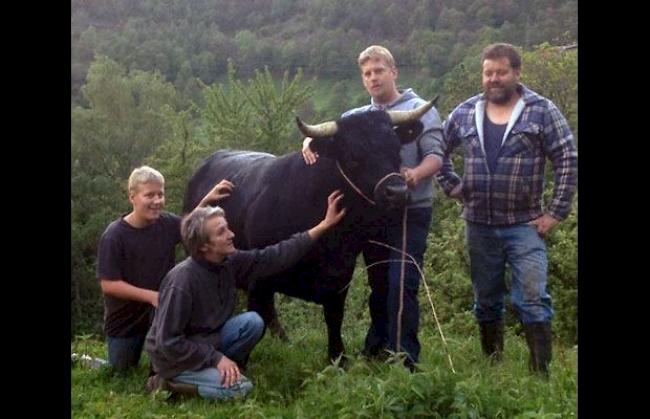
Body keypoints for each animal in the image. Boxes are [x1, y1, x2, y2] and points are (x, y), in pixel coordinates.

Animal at [182, 101, 432, 360]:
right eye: (353, 157)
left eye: (397, 150)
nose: (398, 192)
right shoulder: (258, 282)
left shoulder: (339, 279)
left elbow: (334, 322)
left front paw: (338, 359)